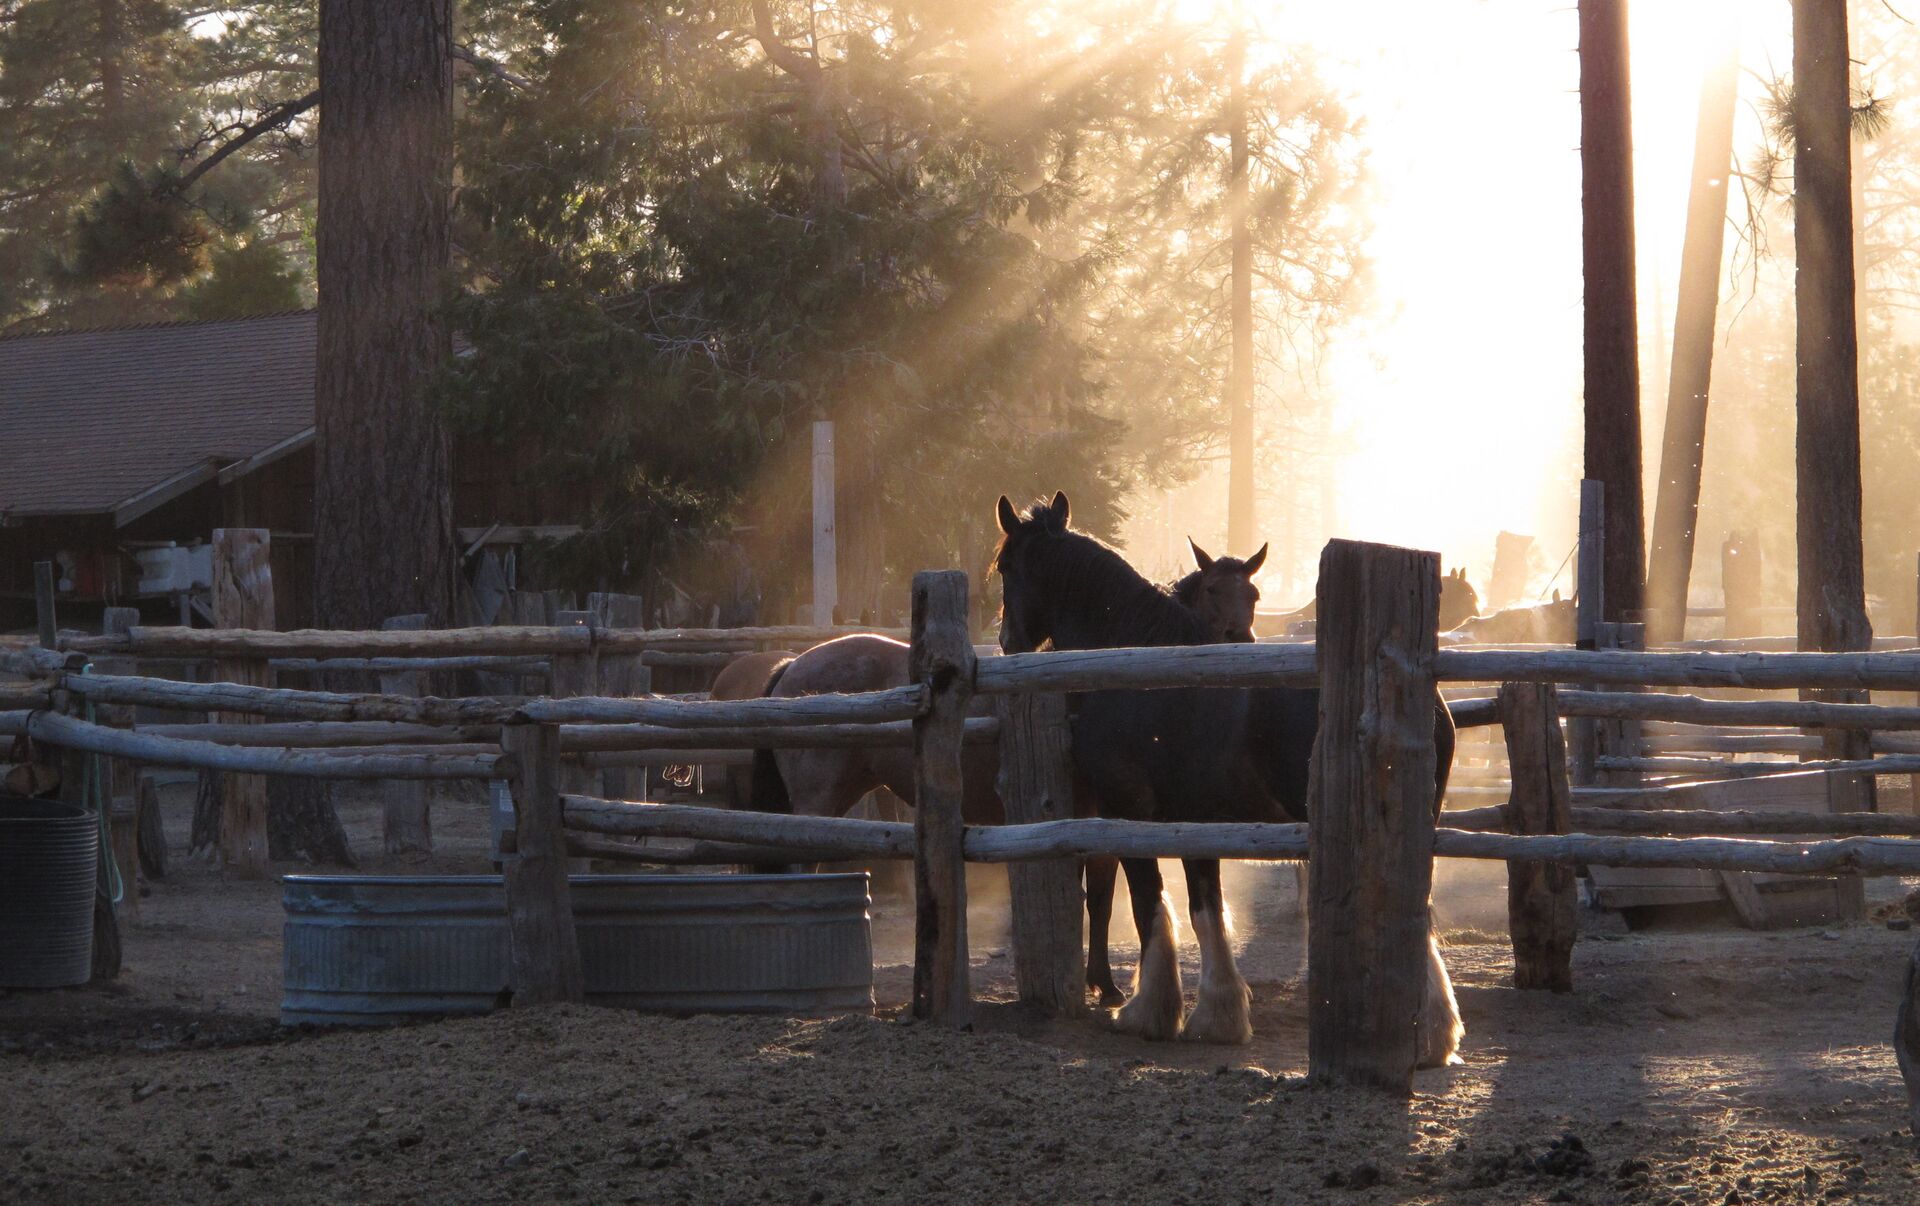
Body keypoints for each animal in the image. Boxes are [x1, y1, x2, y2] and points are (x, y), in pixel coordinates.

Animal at [992, 491, 1462, 1062]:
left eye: (1005, 565)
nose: (1007, 640)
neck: (1139, 673)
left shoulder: (1130, 812)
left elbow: (1149, 902)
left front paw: (1150, 1012)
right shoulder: (1195, 821)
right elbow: (1204, 909)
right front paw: (1219, 1015)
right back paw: (1432, 1033)